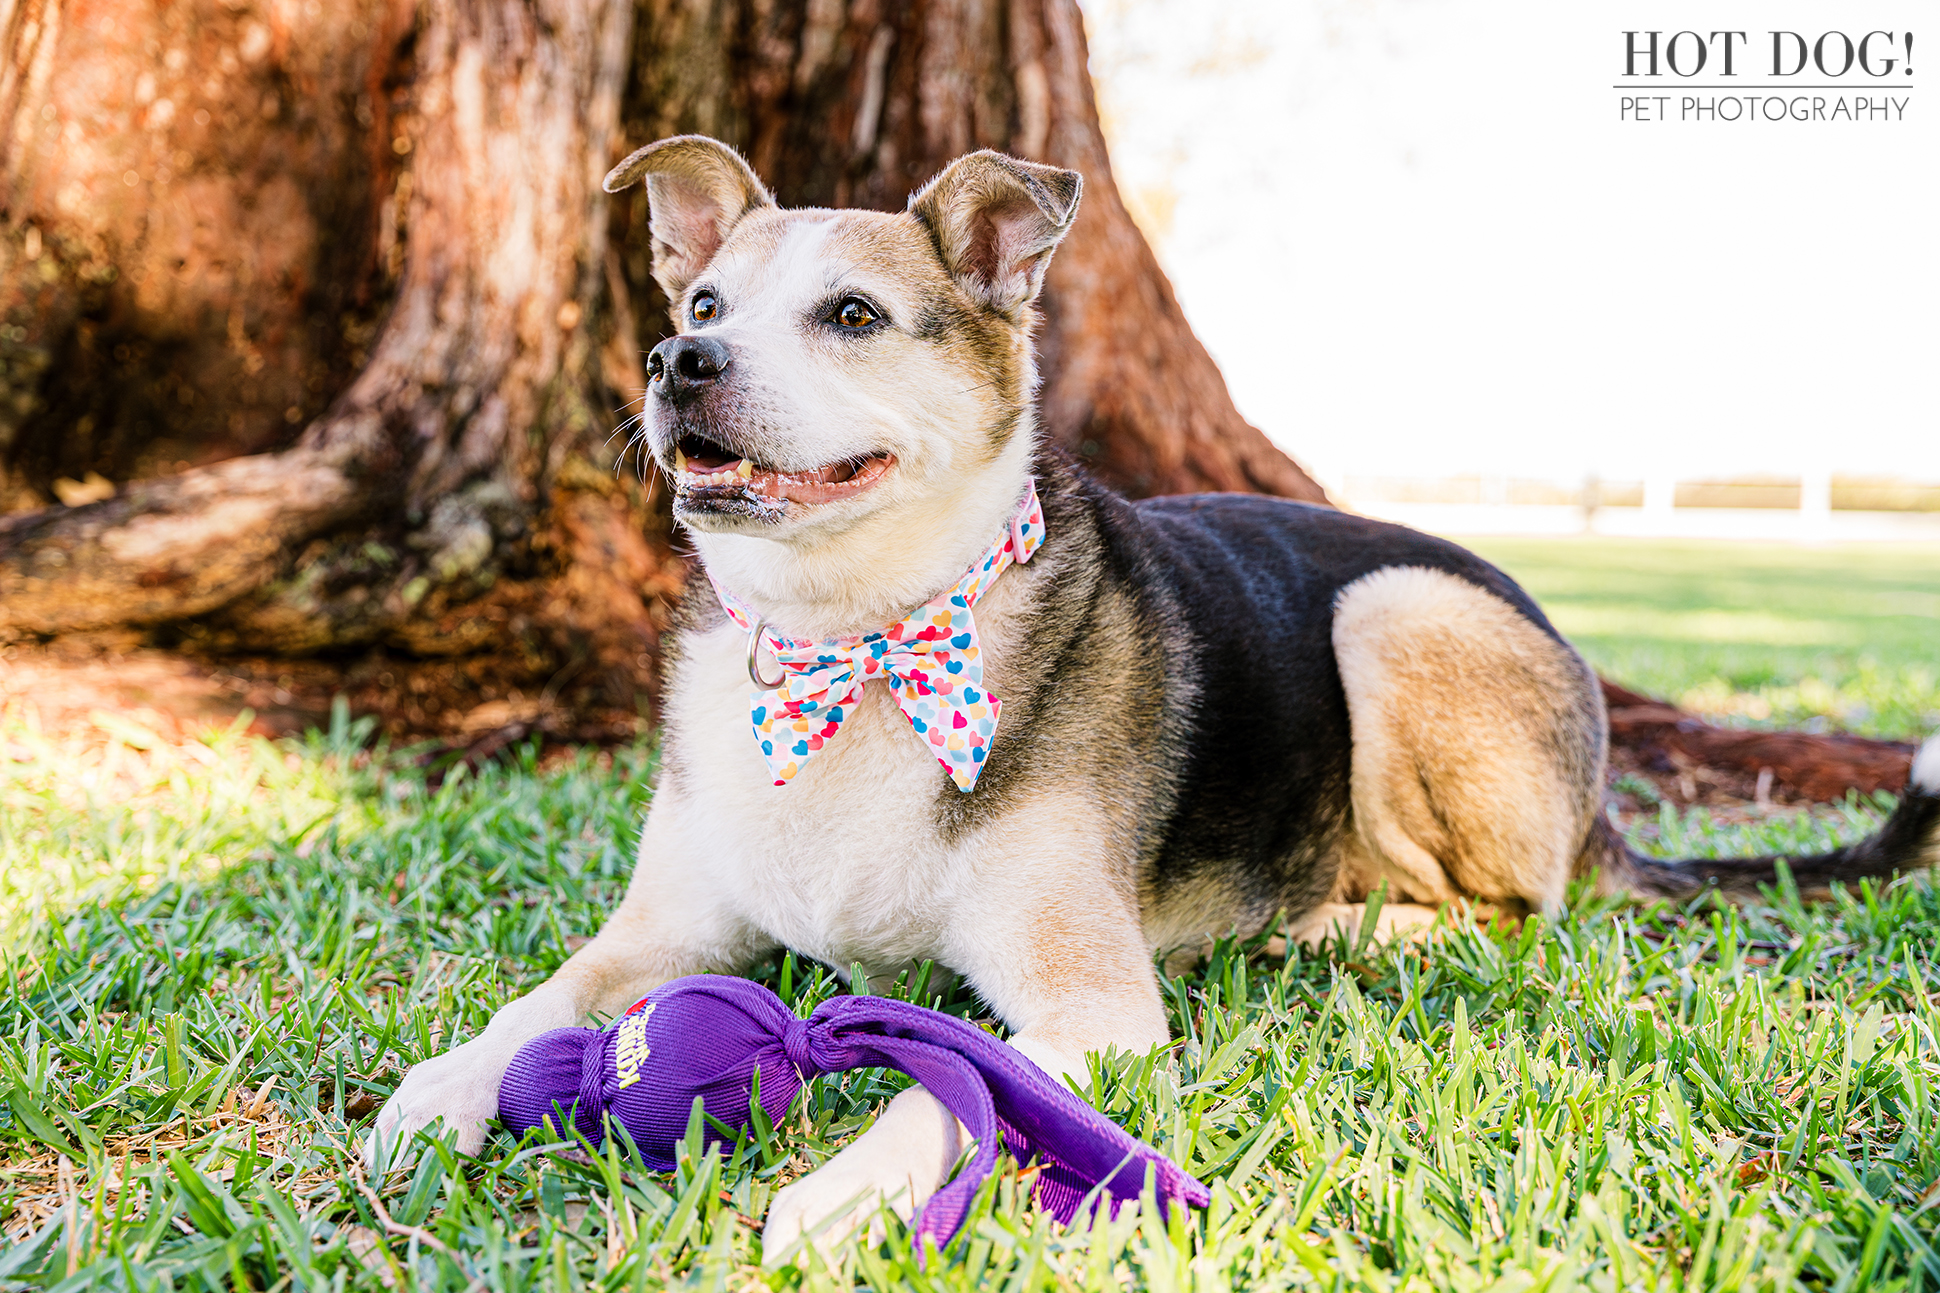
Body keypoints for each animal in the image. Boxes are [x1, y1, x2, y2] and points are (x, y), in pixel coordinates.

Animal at [366, 135, 1940, 1250]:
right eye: (701, 302)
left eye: (853, 314)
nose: (676, 361)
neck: (852, 642)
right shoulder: (665, 929)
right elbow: (534, 1003)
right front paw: (439, 1089)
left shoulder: (1091, 1006)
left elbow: (964, 1094)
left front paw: (838, 1192)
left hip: (1396, 610)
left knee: (1516, 908)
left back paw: (1342, 923)